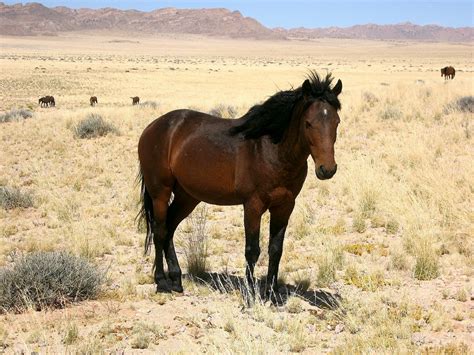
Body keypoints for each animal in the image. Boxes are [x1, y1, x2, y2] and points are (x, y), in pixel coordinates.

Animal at [138, 71, 344, 298]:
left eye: (336, 122)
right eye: (308, 123)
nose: (327, 169)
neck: (272, 152)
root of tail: (154, 126)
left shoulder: (284, 206)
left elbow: (276, 249)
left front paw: (271, 293)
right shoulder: (253, 205)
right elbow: (252, 250)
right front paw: (250, 292)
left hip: (187, 197)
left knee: (170, 228)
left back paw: (176, 280)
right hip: (160, 193)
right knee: (160, 231)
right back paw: (161, 282)